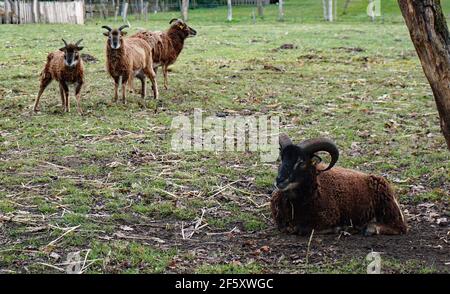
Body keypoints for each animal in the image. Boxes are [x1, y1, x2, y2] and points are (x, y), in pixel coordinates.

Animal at [270, 134, 408, 235]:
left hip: (387, 207)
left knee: (399, 227)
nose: (280, 180)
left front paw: (340, 228)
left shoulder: (328, 218)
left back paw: (370, 228)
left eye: (301, 162)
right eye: (282, 158)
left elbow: (302, 229)